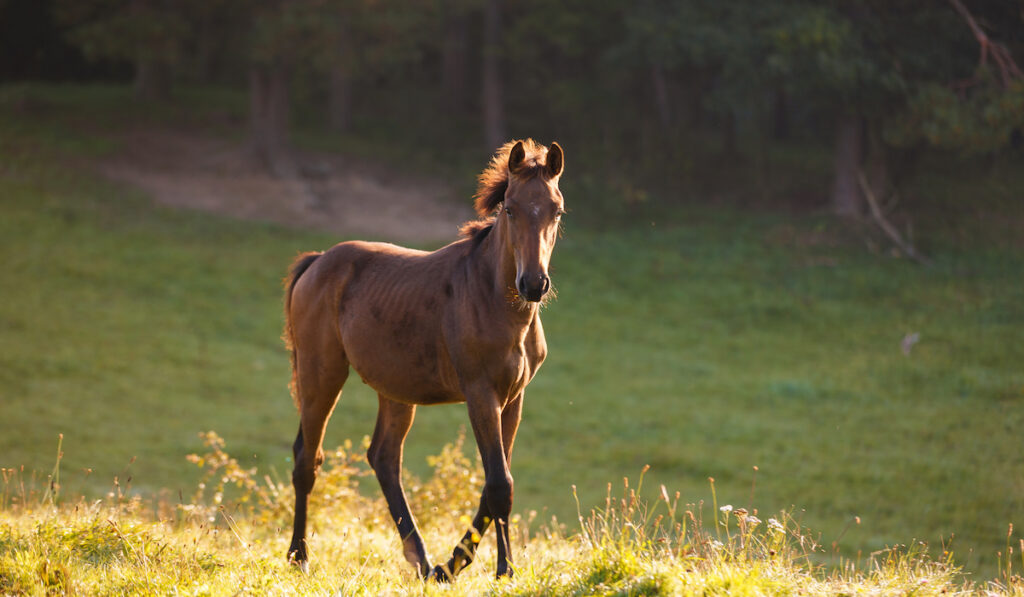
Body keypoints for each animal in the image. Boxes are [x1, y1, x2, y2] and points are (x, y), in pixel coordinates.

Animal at [284, 139, 565, 577]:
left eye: (557, 210)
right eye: (510, 209)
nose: (534, 284)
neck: (493, 300)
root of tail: (316, 261)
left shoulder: (514, 398)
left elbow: (495, 483)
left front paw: (455, 564)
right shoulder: (480, 393)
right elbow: (499, 485)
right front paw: (503, 570)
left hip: (395, 389)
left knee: (384, 457)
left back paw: (422, 560)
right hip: (322, 374)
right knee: (306, 460)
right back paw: (300, 556)